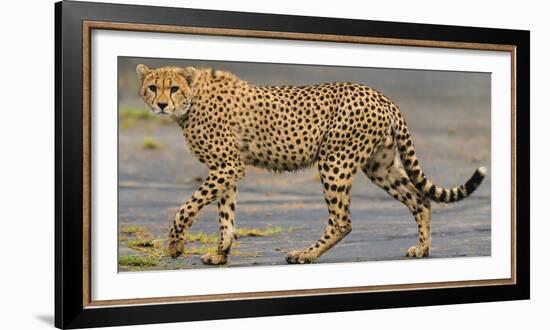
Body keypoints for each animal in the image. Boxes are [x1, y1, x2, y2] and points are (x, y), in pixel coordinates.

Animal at [137, 64, 488, 266]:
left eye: (173, 88)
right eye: (153, 87)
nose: (161, 104)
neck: (192, 100)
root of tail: (379, 95)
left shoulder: (228, 166)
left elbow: (187, 207)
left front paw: (175, 245)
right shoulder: (227, 169)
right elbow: (226, 216)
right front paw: (221, 253)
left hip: (334, 160)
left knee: (342, 220)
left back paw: (305, 254)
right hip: (380, 165)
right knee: (420, 199)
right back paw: (422, 249)